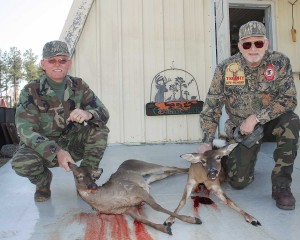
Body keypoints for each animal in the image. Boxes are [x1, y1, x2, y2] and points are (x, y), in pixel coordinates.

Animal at [68, 159, 202, 234]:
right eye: (78, 176)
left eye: (92, 174)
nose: (93, 186)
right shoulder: (129, 209)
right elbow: (141, 220)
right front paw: (165, 229)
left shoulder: (135, 189)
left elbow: (156, 206)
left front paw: (193, 220)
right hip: (149, 177)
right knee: (165, 173)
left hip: (146, 166)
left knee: (170, 167)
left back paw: (191, 169)